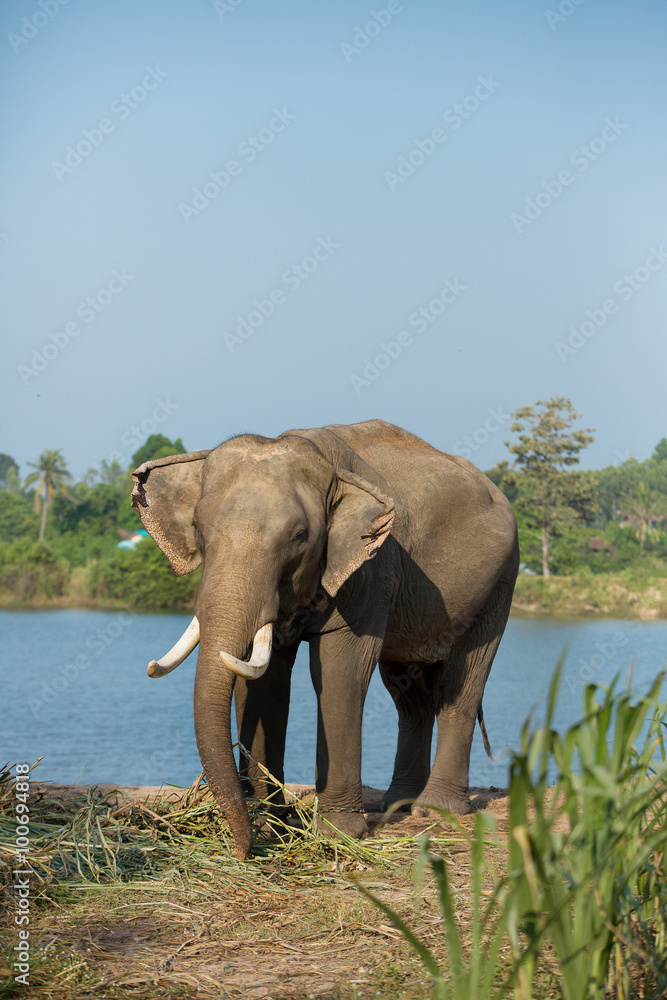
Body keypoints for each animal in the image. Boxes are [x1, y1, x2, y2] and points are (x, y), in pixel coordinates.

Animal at [131, 419, 519, 859]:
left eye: (299, 536)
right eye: (197, 527)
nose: (242, 850)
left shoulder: (370, 566)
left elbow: (340, 670)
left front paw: (338, 833)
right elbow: (266, 679)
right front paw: (270, 823)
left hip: (498, 585)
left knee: (461, 684)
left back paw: (434, 810)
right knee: (409, 694)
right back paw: (397, 805)